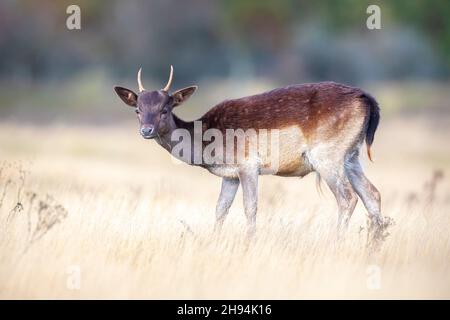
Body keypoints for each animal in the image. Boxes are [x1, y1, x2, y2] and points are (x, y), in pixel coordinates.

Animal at [114, 66, 392, 244]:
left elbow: (250, 207)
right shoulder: (229, 175)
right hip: (352, 156)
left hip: (327, 155)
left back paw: (336, 243)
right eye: (138, 110)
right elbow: (220, 209)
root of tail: (368, 100)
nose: (146, 130)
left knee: (347, 197)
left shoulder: (248, 164)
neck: (207, 142)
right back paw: (374, 245)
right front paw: (215, 241)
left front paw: (249, 243)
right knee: (372, 194)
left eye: (165, 109)